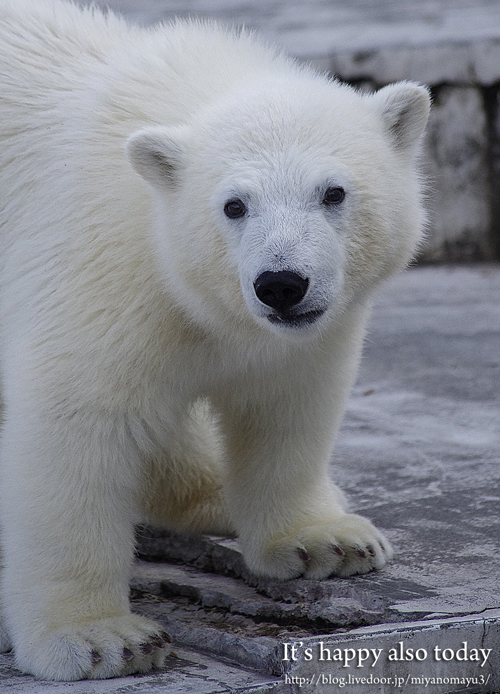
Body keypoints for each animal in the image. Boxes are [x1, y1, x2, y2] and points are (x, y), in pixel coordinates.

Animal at [0, 0, 430, 684]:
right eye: (233, 205)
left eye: (333, 192)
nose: (281, 284)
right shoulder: (100, 267)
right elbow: (78, 425)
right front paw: (99, 638)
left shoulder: (305, 333)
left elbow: (289, 404)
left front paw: (326, 539)